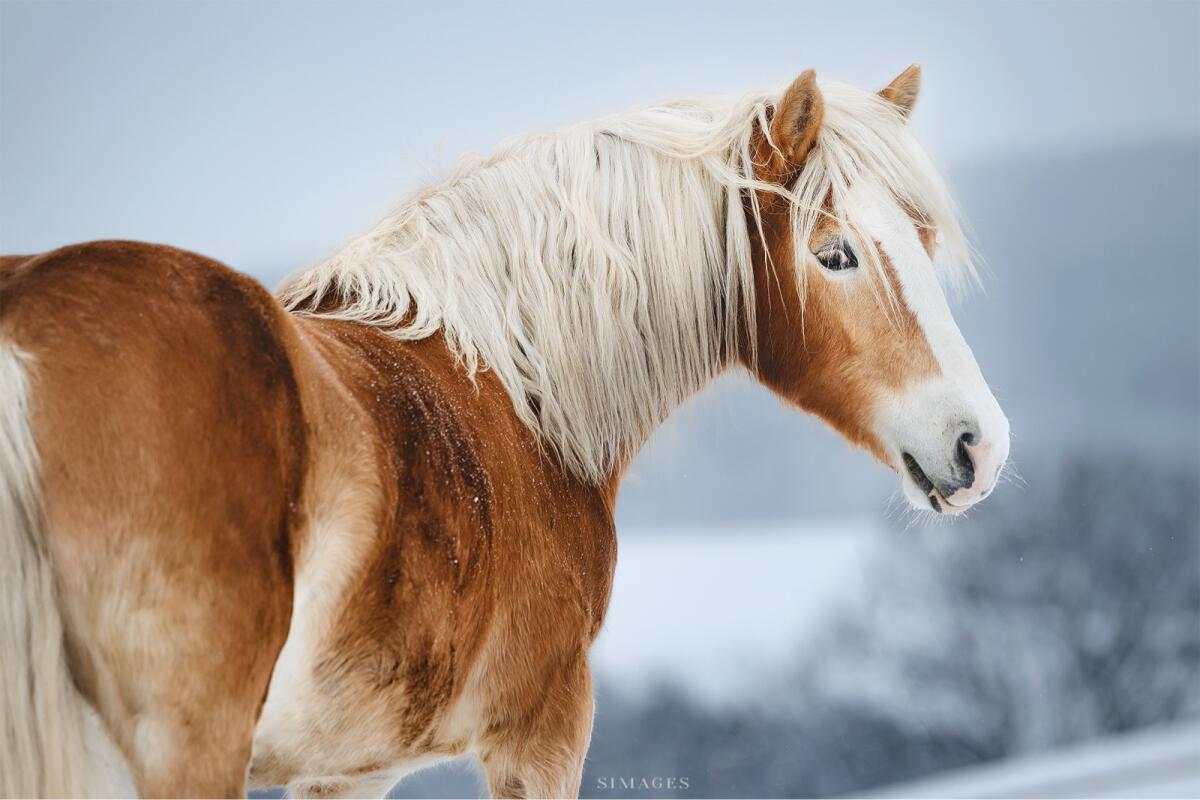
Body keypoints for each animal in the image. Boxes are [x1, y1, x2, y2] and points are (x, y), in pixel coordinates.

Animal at [0, 65, 1009, 798]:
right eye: (834, 253)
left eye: (922, 241)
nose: (980, 444)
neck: (516, 389)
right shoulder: (544, 732)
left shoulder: (345, 772)